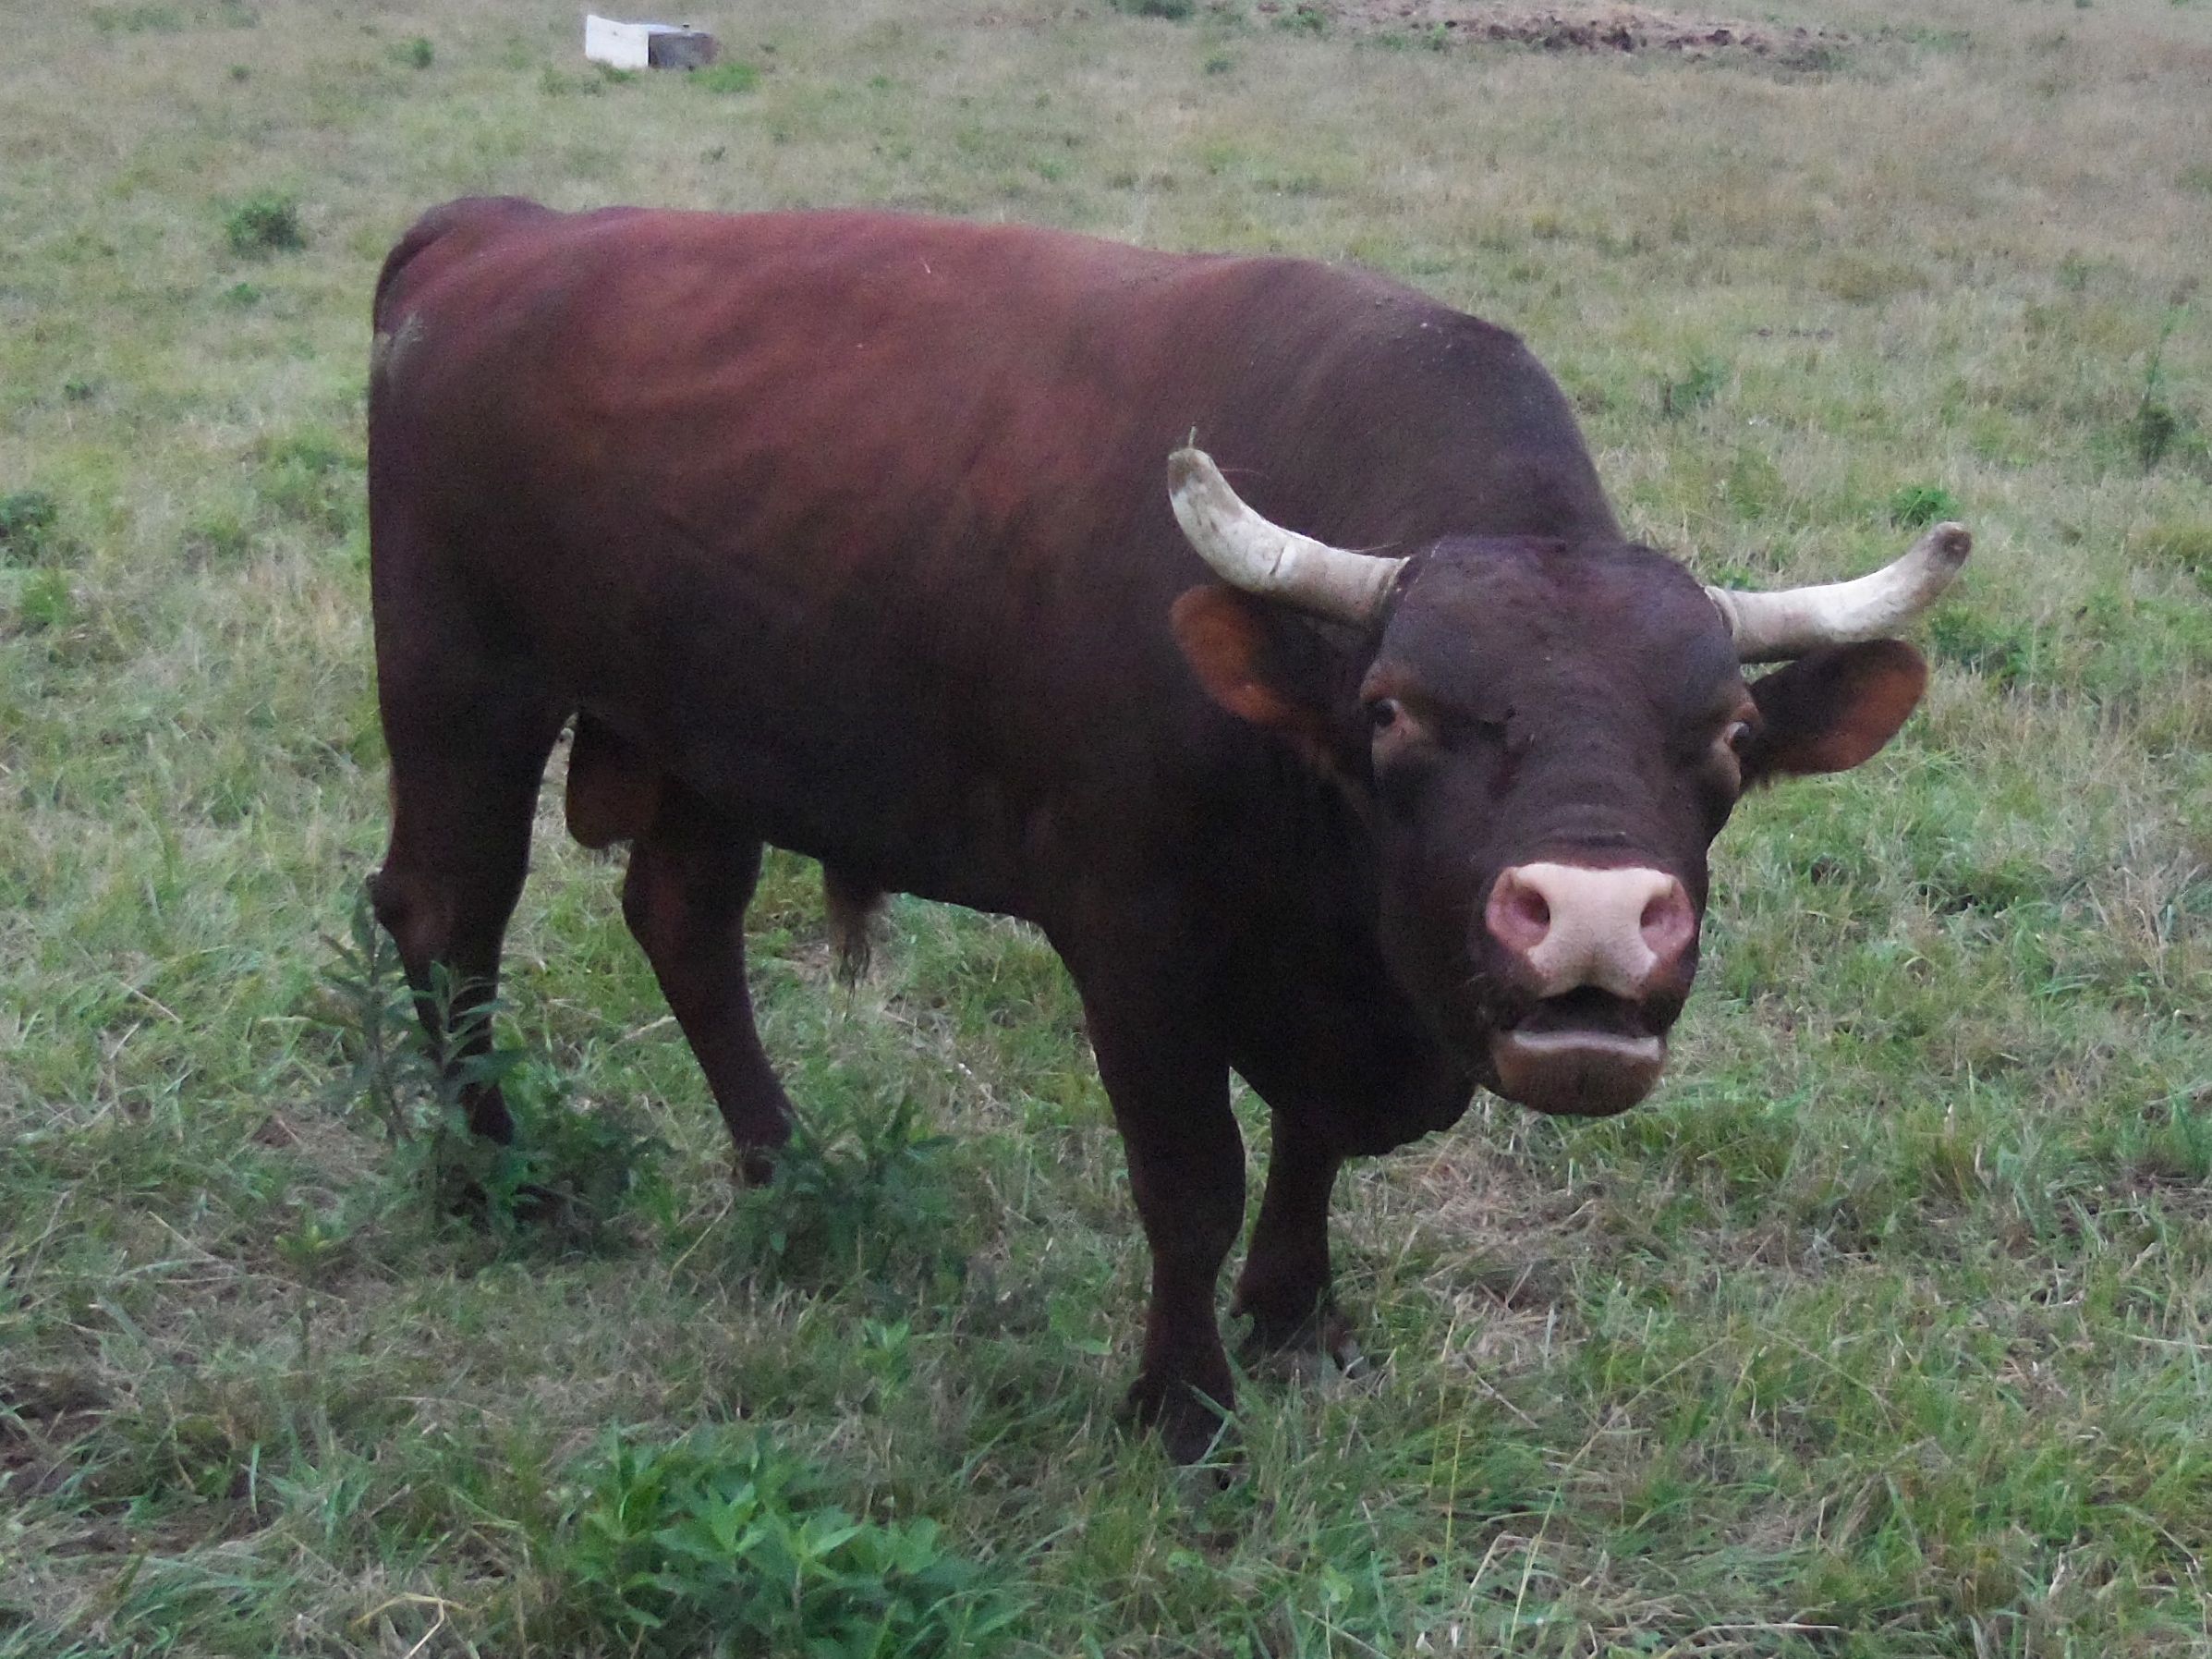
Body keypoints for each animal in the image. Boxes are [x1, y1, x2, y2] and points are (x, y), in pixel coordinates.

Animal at [365, 198, 1968, 1459]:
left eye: (1730, 735)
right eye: (1393, 709)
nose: (1588, 914)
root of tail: (502, 230)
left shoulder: (1337, 987)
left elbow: (1307, 1146)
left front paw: (1297, 1313)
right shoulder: (1131, 944)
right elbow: (1191, 1181)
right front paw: (1181, 1406)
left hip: (710, 733)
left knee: (683, 922)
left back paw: (785, 1165)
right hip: (461, 686)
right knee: (447, 912)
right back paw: (495, 1171)